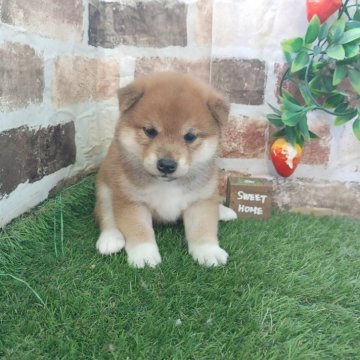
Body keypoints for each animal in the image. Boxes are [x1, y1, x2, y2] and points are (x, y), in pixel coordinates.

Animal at [96, 71, 236, 268]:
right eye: (150, 131)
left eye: (190, 136)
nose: (167, 165)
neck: (168, 185)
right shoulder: (132, 201)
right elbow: (139, 230)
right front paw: (144, 254)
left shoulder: (199, 200)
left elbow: (202, 228)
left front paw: (208, 251)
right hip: (105, 190)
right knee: (107, 216)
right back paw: (110, 239)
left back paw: (223, 211)